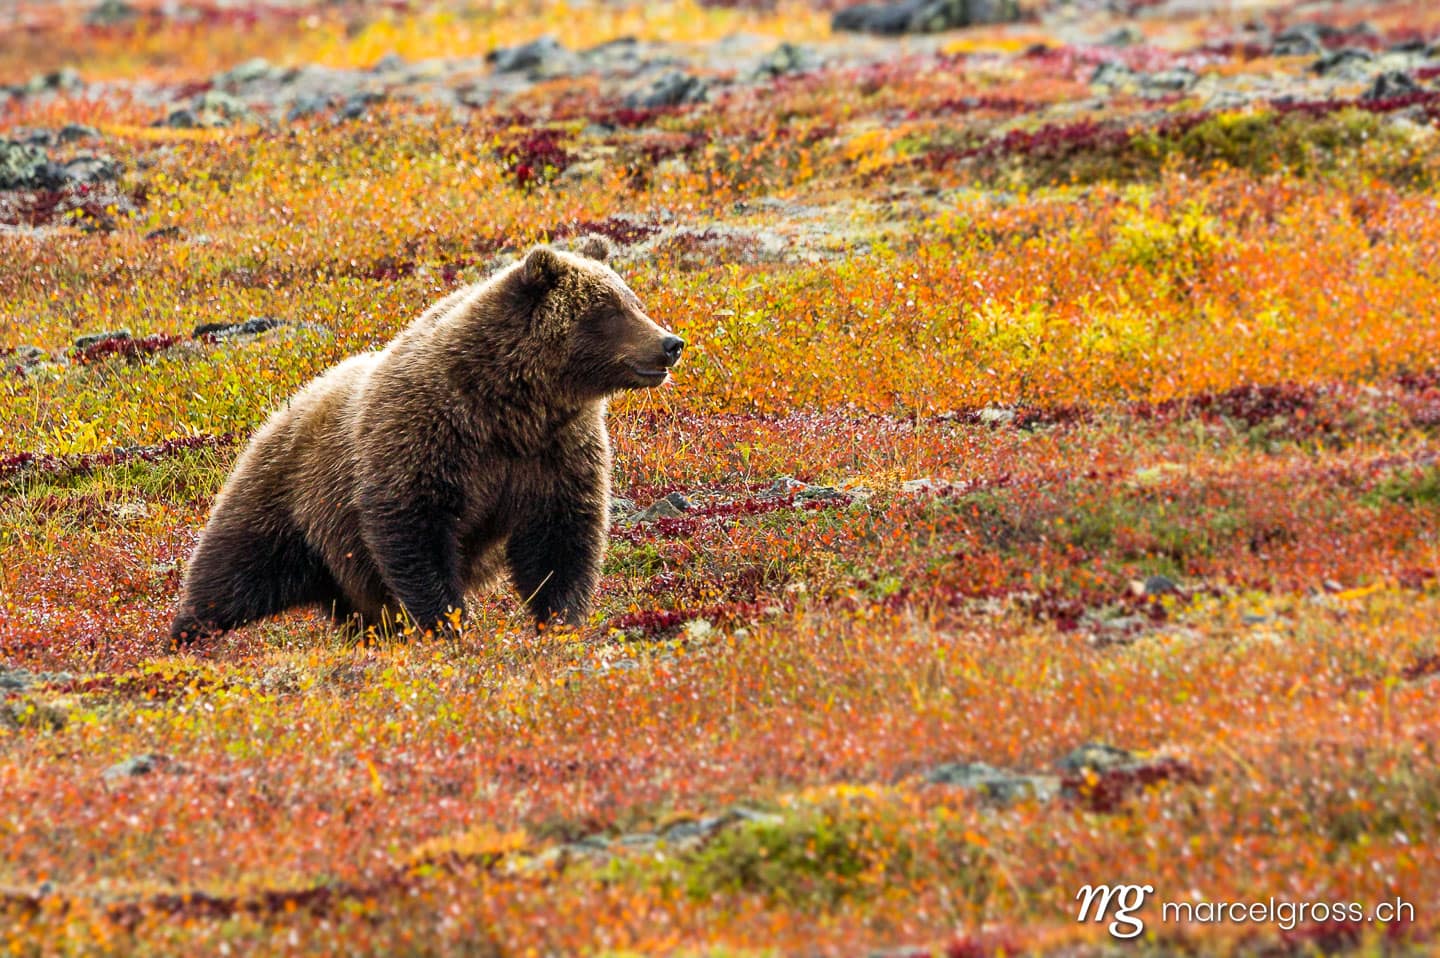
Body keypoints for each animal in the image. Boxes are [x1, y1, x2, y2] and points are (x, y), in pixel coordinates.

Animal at [170, 236, 683, 642]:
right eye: (608, 309)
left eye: (634, 301)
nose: (670, 343)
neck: (512, 407)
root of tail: (282, 406)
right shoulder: (426, 437)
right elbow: (415, 532)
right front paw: (449, 623)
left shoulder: (557, 452)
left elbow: (562, 539)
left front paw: (559, 621)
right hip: (282, 497)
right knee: (232, 572)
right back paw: (187, 636)